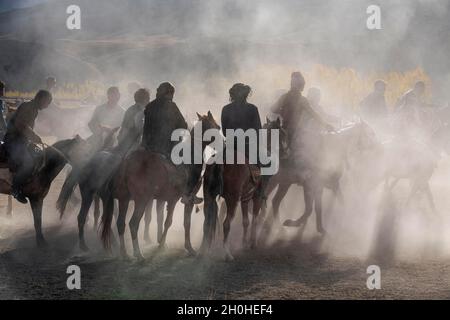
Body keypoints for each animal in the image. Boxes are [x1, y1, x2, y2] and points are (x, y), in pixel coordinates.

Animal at [100, 111, 220, 258]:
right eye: (217, 127)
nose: (223, 142)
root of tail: (126, 163)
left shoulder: (167, 200)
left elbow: (166, 220)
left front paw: (165, 244)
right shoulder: (181, 200)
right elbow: (175, 222)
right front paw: (180, 247)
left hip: (124, 200)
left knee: (120, 224)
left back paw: (124, 254)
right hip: (141, 201)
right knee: (133, 224)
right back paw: (138, 253)